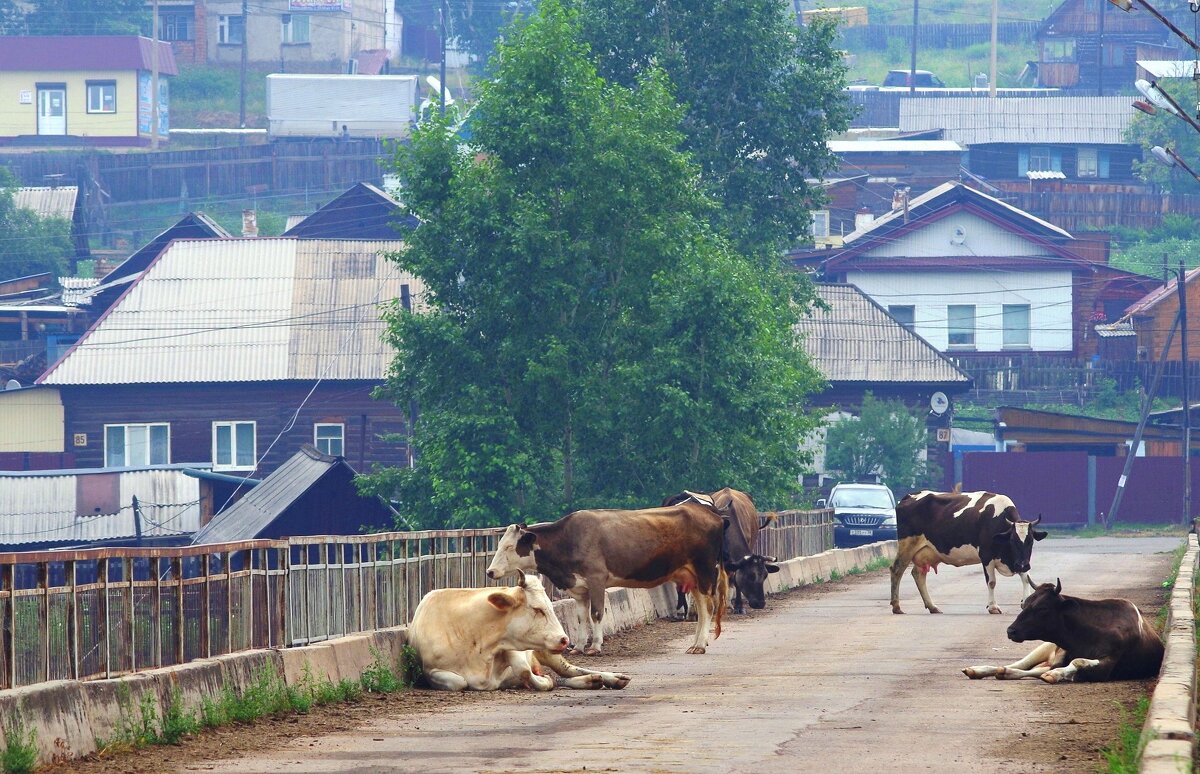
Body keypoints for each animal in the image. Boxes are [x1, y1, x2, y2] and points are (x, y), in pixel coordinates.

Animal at [408, 571, 633, 691]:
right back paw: (591, 681)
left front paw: (542, 681)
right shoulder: (431, 670)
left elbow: (524, 670)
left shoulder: (513, 647)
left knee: (570, 671)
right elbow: (459, 682)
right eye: (537, 609)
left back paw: (611, 678)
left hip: (546, 652)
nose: (564, 639)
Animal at [482, 501, 724, 657]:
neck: (568, 540)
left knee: (708, 607)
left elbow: (596, 613)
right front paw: (578, 646)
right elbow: (581, 617)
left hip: (704, 570)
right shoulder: (578, 588)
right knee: (702, 608)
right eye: (500, 544)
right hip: (692, 576)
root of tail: (710, 513)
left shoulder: (596, 579)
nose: (490, 572)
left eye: (509, 547)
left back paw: (700, 645)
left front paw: (595, 646)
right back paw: (697, 642)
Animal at [888, 492, 1046, 612]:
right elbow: (992, 582)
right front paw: (993, 607)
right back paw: (896, 606)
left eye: (1031, 541)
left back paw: (932, 606)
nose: (1023, 565)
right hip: (907, 545)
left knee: (918, 574)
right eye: (1012, 540)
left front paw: (1026, 601)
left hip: (925, 552)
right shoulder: (986, 556)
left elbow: (1025, 578)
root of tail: (909, 496)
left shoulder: (1019, 560)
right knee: (897, 570)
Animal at [960, 580, 1166, 681]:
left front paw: (1057, 675)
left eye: (1042, 608)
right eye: (1024, 604)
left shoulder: (1107, 666)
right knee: (1019, 665)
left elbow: (1077, 661)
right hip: (1045, 647)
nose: (1011, 630)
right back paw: (979, 670)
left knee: (1029, 669)